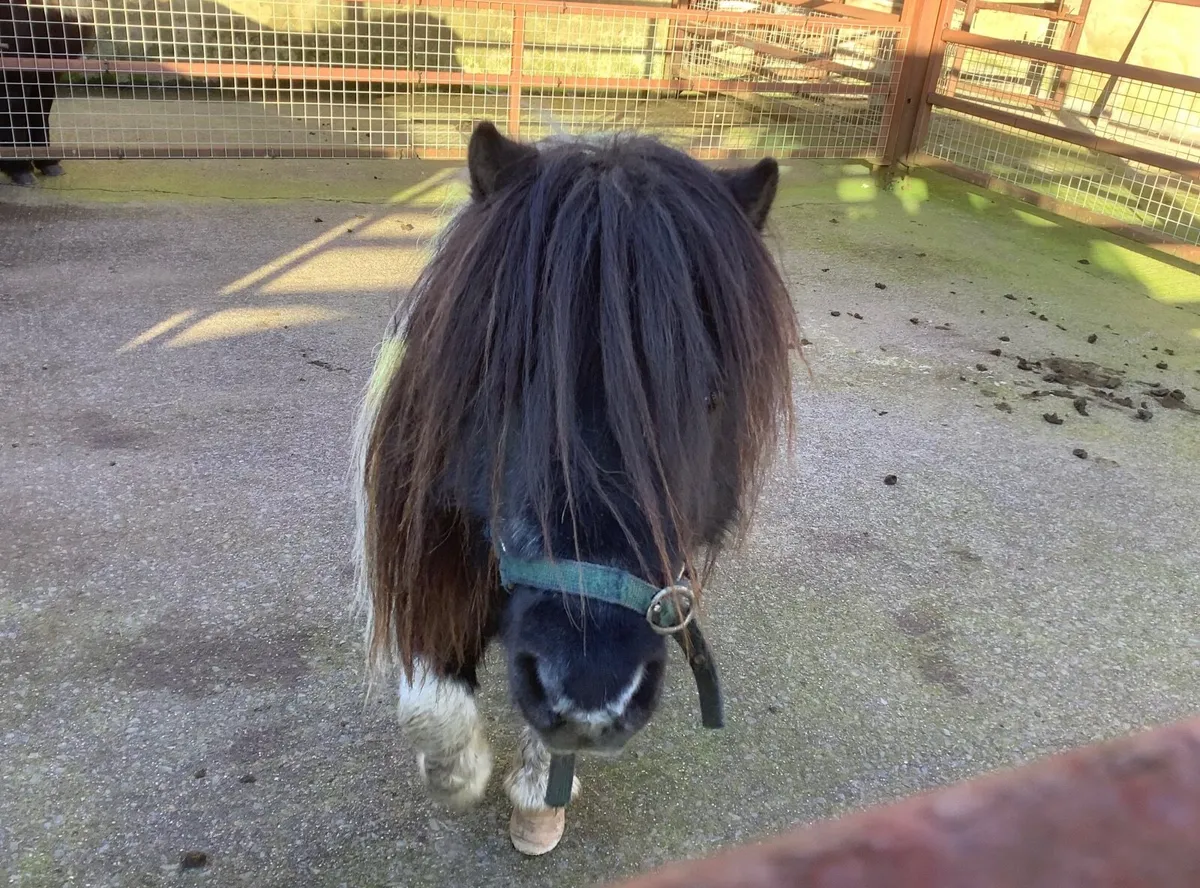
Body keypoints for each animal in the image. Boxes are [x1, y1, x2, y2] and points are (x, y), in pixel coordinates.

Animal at [352, 120, 799, 855]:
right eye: (504, 378)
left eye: (707, 399)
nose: (593, 694)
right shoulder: (422, 546)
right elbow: (429, 700)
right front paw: (456, 773)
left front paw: (538, 796)